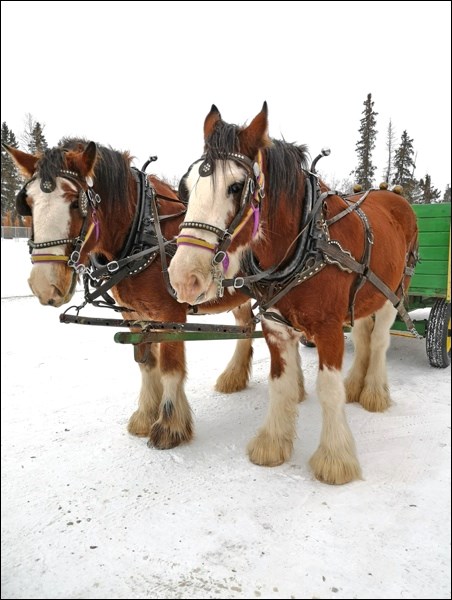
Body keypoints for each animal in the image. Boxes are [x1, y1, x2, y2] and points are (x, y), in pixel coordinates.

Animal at [3, 139, 264, 450]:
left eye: (75, 202)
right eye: (28, 204)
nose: (44, 285)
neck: (142, 230)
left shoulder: (171, 315)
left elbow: (170, 367)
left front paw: (169, 426)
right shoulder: (134, 315)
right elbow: (147, 364)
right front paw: (145, 416)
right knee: (246, 325)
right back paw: (234, 377)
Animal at [168, 103, 418, 486]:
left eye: (236, 187)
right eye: (185, 188)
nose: (184, 278)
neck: (303, 243)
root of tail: (391, 193)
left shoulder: (329, 329)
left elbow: (329, 390)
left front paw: (335, 458)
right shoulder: (275, 325)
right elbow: (280, 384)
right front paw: (273, 443)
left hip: (394, 292)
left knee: (378, 342)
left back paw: (373, 392)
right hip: (366, 295)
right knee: (363, 335)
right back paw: (356, 385)